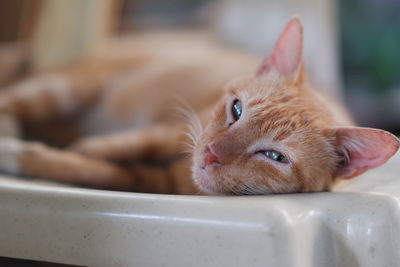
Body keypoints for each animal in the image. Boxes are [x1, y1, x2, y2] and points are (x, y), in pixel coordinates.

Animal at [0, 17, 396, 196]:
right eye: (236, 110)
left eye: (274, 156)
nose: (209, 154)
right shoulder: (178, 127)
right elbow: (123, 144)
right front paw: (89, 147)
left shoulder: (144, 181)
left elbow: (90, 171)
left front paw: (35, 156)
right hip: (62, 89)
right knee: (12, 100)